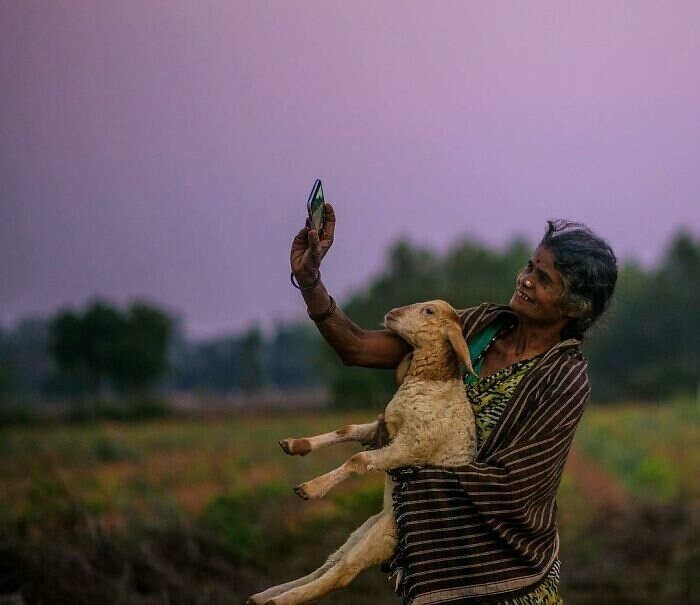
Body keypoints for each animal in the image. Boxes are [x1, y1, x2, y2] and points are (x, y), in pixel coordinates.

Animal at [243, 300, 478, 604]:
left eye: (429, 311)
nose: (392, 314)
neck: (432, 381)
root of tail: (385, 516)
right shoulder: (383, 429)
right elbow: (347, 429)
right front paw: (296, 445)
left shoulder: (409, 446)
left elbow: (358, 458)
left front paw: (311, 488)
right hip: (363, 530)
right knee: (330, 563)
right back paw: (263, 596)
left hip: (384, 535)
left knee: (342, 572)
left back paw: (277, 600)